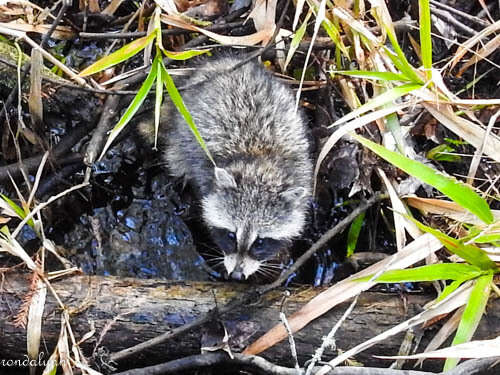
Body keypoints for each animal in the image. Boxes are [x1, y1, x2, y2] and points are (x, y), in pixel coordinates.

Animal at [148, 54, 312, 280]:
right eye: (231, 235)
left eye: (260, 242)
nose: (236, 275)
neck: (259, 162)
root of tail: (228, 63)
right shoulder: (203, 171)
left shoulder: (303, 171)